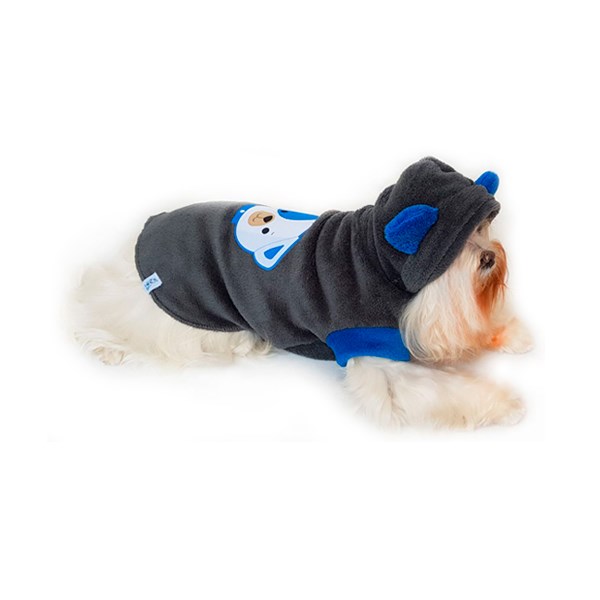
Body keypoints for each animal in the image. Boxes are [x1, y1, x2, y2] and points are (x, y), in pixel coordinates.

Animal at [72, 157, 532, 429]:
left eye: (483, 229)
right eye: (461, 244)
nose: (490, 256)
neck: (379, 261)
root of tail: (143, 235)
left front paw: (508, 335)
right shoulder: (374, 353)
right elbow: (439, 390)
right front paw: (506, 404)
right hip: (185, 312)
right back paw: (108, 346)